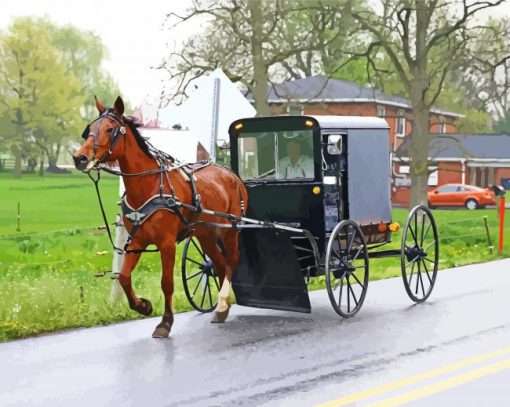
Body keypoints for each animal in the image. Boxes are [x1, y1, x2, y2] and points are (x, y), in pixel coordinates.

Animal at [73, 97, 247, 340]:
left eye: (110, 129)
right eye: (90, 129)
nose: (79, 158)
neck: (149, 186)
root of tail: (231, 174)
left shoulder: (167, 244)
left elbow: (167, 283)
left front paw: (165, 322)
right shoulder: (136, 242)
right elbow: (124, 277)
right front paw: (143, 306)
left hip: (229, 229)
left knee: (231, 260)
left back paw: (222, 302)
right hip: (205, 234)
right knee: (220, 264)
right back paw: (222, 309)